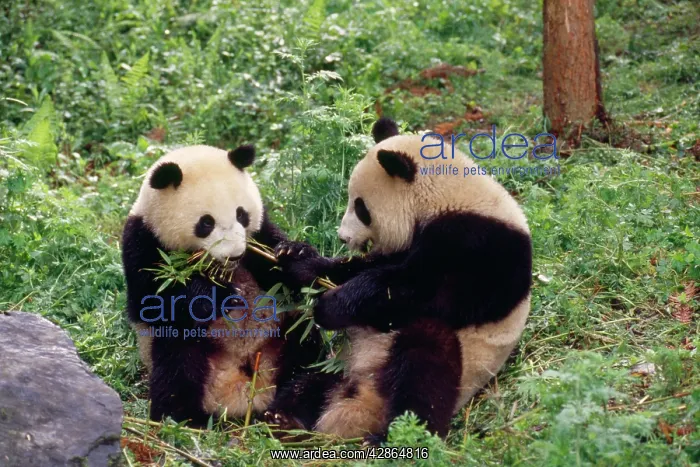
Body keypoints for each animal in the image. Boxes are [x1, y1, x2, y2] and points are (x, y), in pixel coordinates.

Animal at [122, 144, 320, 427]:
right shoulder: (143, 241)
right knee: (178, 361)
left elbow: (279, 269)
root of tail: (242, 394)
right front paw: (220, 296)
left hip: (280, 335)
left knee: (305, 346)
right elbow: (150, 301)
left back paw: (287, 412)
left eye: (241, 214)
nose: (235, 254)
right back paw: (183, 418)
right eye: (206, 223)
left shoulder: (258, 236)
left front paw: (296, 254)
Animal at [266, 118, 532, 440]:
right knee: (309, 381)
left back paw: (399, 434)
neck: (447, 197)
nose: (343, 237)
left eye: (360, 207)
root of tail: (361, 402)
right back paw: (284, 417)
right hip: (338, 365)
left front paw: (330, 305)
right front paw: (295, 256)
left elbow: (415, 292)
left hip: (460, 364)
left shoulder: (480, 246)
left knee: (425, 363)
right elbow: (361, 269)